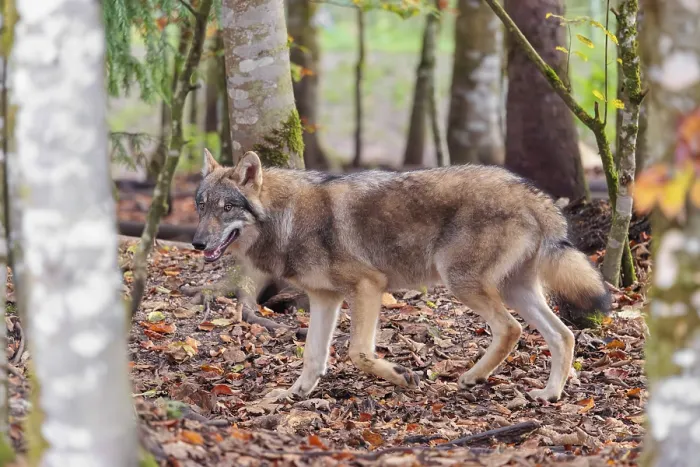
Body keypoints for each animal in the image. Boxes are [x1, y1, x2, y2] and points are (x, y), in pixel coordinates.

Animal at [192, 149, 610, 403]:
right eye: (201, 206)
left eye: (227, 208)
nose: (196, 243)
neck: (287, 218)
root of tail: (532, 193)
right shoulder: (324, 299)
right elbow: (313, 356)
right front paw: (294, 395)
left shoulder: (368, 286)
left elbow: (358, 352)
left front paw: (402, 376)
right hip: (515, 291)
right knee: (563, 334)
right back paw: (549, 394)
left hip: (464, 283)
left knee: (511, 329)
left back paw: (473, 377)